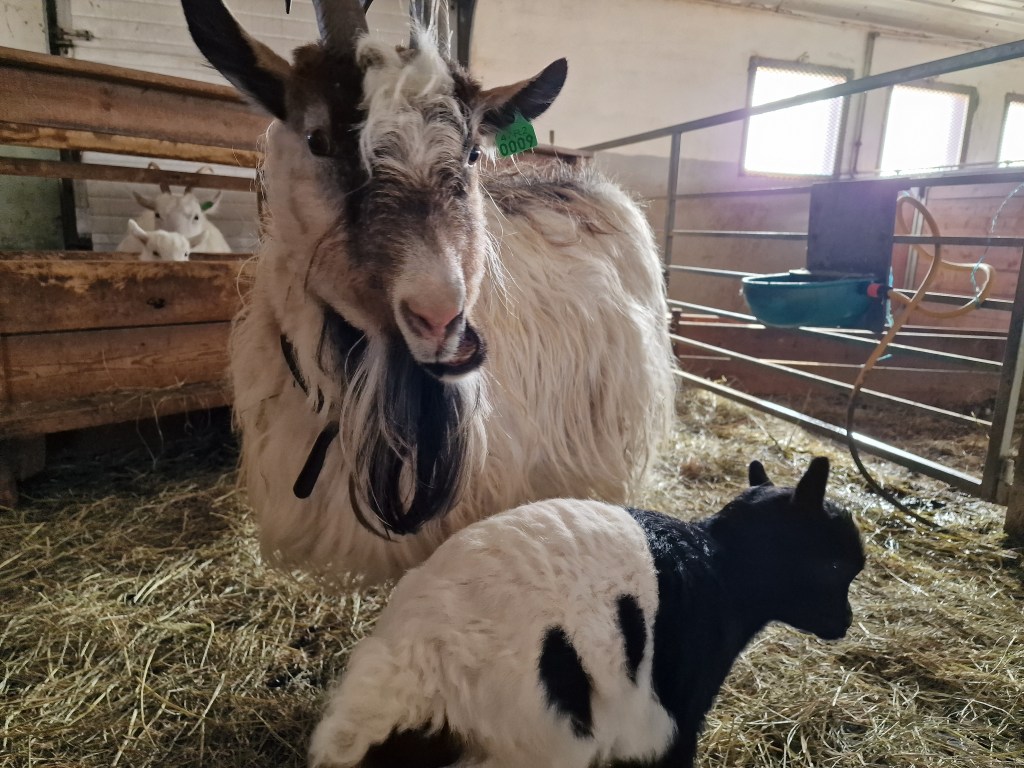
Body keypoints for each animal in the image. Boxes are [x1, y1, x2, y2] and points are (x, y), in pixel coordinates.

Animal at [309, 457, 865, 768]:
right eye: (836, 563)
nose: (845, 623)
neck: (725, 569)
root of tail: (419, 662)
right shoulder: (675, 712)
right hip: (538, 747)